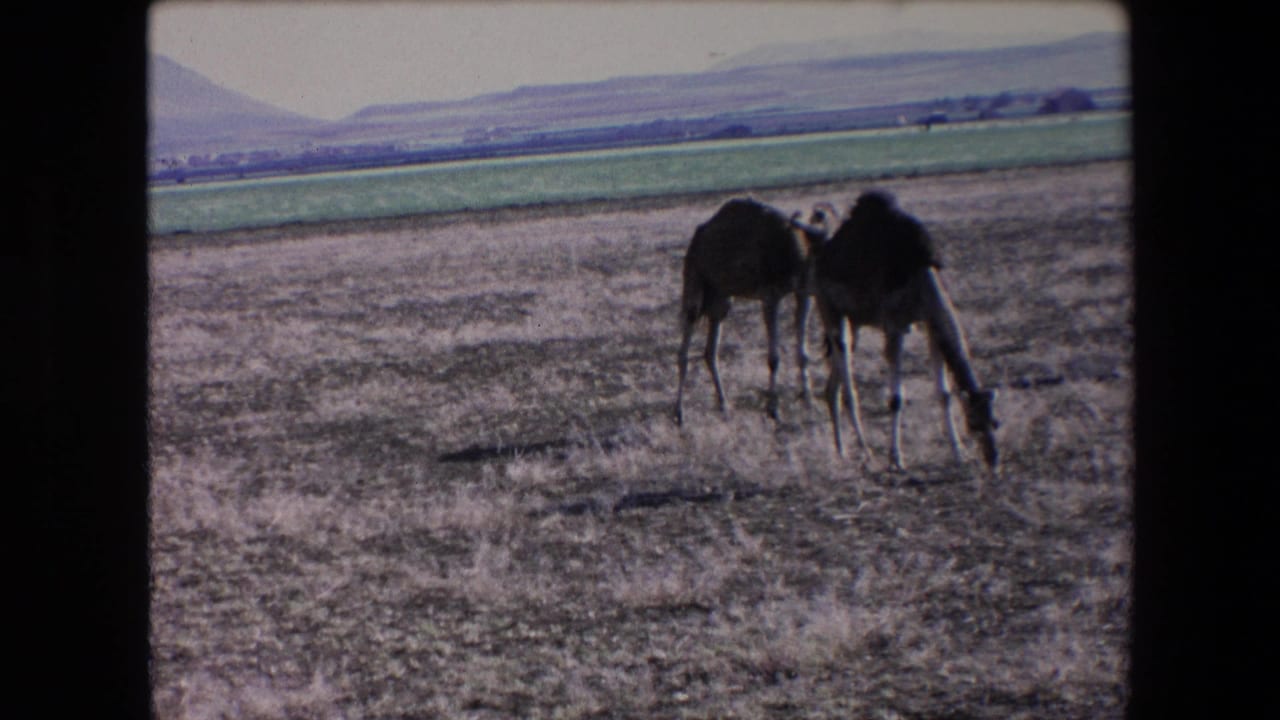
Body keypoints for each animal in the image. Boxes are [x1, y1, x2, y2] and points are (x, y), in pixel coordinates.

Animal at [674, 197, 828, 425]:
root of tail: (697, 238)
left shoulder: (803, 293)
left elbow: (803, 352)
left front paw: (808, 400)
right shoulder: (771, 296)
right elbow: (774, 358)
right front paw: (773, 410)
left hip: (721, 298)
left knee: (710, 350)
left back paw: (724, 404)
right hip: (695, 282)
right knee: (685, 345)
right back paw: (679, 413)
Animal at [814, 190, 999, 470]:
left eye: (995, 423)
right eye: (974, 424)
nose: (994, 459)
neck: (920, 272)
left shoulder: (929, 324)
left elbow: (944, 393)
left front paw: (959, 453)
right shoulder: (895, 326)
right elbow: (896, 399)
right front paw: (896, 458)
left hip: (853, 322)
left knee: (832, 385)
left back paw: (841, 451)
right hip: (829, 309)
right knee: (847, 382)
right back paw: (866, 451)